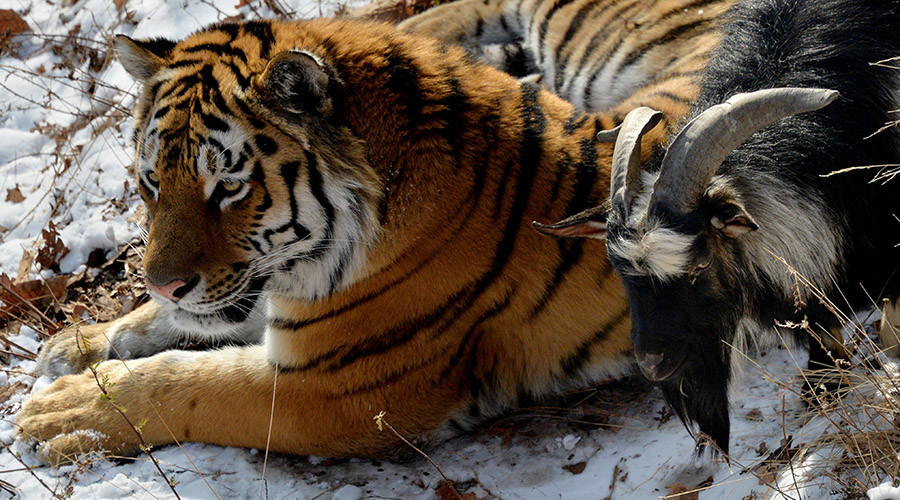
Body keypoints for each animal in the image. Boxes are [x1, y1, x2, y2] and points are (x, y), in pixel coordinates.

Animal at [17, 5, 724, 464]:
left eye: (230, 187)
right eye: (151, 183)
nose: (163, 282)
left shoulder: (333, 389)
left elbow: (184, 384)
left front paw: (64, 411)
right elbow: (169, 327)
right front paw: (75, 344)